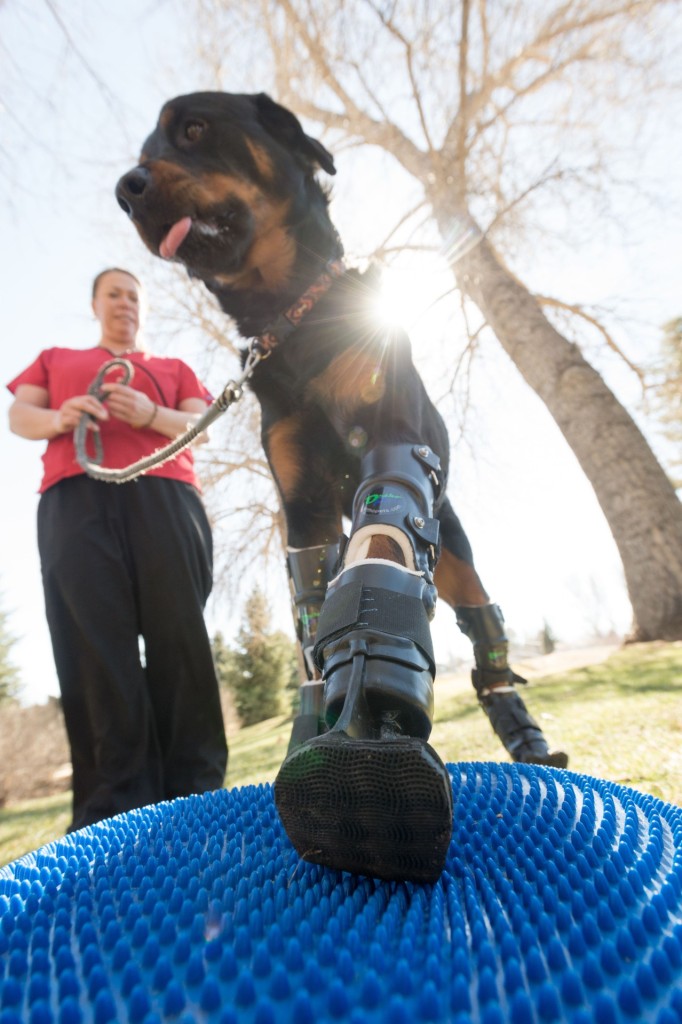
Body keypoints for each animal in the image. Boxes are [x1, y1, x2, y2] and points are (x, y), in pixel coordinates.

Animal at [115, 92, 561, 884]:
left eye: (194, 128)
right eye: (145, 149)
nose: (125, 189)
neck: (294, 323)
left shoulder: (394, 436)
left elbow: (383, 528)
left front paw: (374, 670)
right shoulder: (303, 509)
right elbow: (314, 603)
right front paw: (328, 716)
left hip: (456, 549)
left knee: (485, 632)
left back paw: (526, 740)